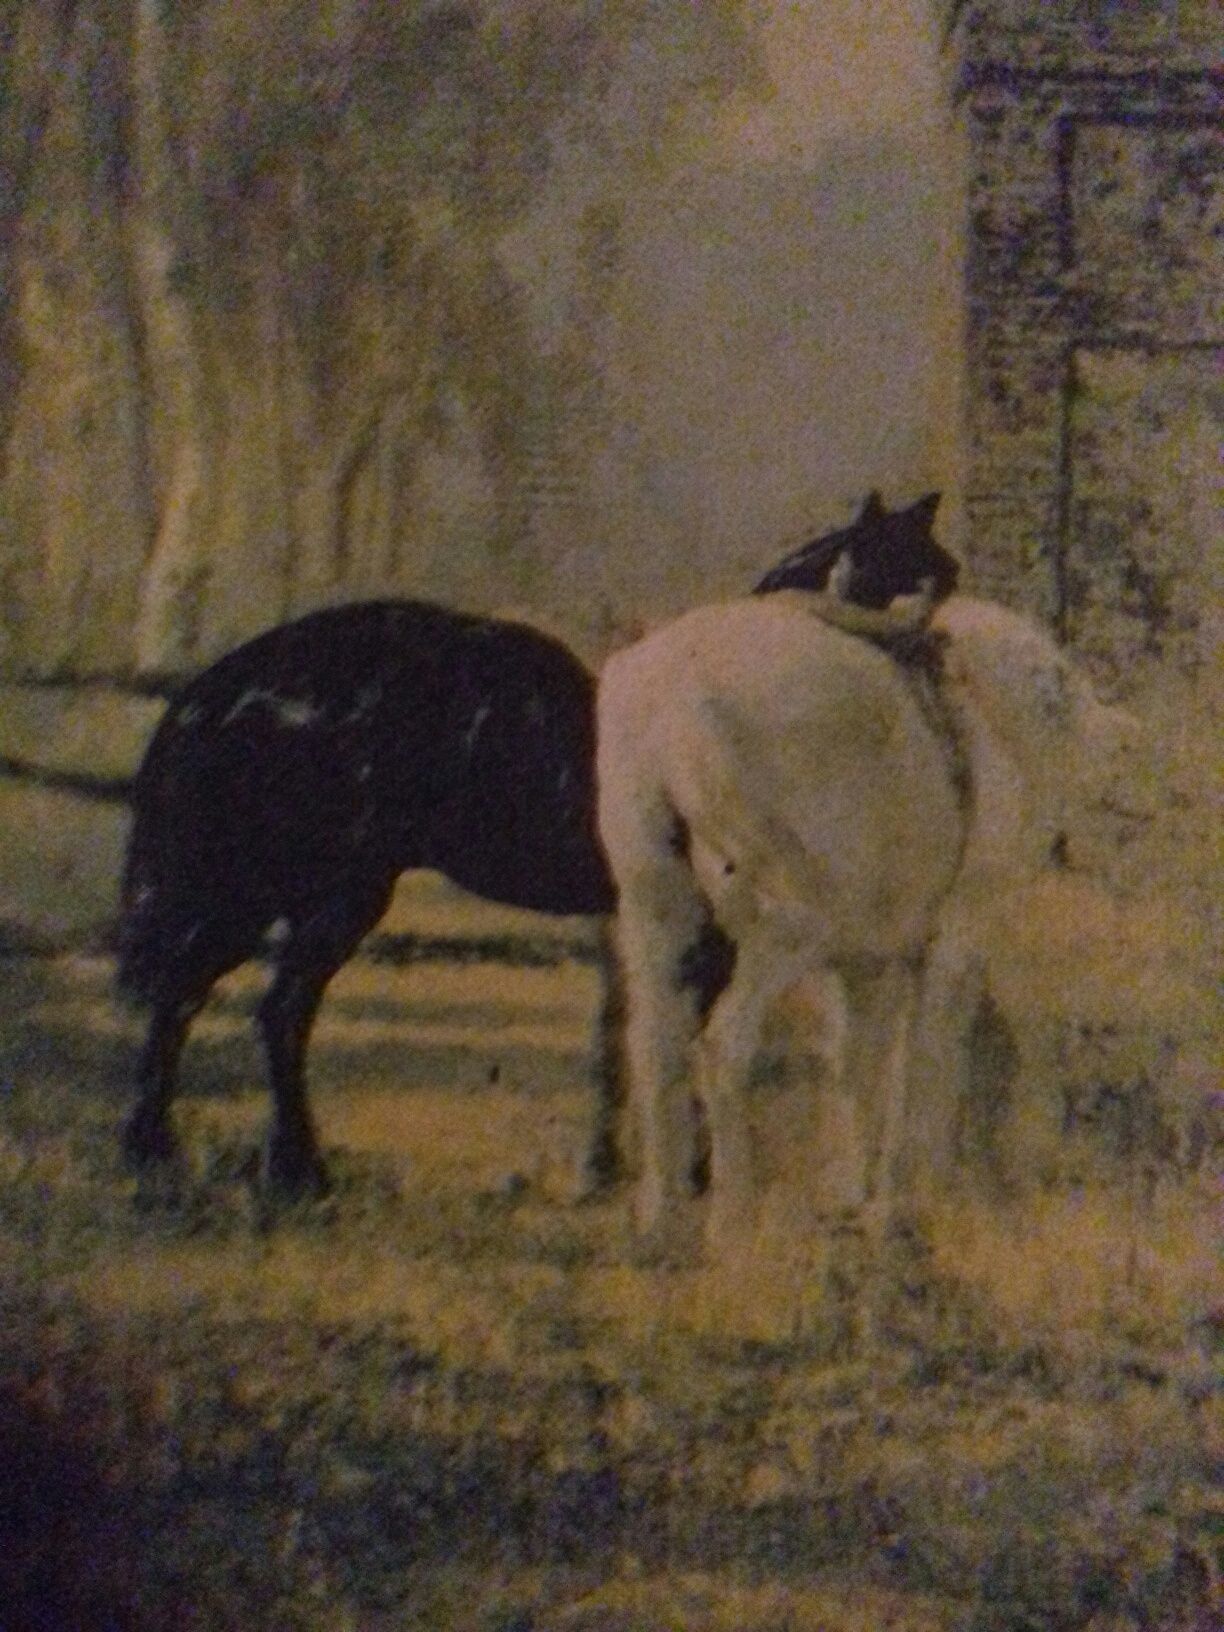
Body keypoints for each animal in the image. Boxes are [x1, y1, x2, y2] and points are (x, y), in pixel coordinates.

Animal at [117, 489, 959, 1194]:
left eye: (945, 575)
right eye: (903, 577)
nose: (945, 688)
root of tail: (224, 685)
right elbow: (686, 1034)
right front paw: (692, 1170)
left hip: (287, 892)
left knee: (217, 1000)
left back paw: (198, 1161)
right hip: (308, 891)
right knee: (240, 1003)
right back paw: (255, 1166)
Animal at [600, 587, 1135, 1246]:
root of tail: (670, 692)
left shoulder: (867, 951)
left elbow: (856, 1058)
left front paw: (848, 1199)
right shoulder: (962, 921)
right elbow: (930, 1050)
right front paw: (910, 1203)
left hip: (649, 886)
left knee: (652, 1039)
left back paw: (659, 1222)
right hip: (791, 912)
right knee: (724, 1042)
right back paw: (734, 1225)